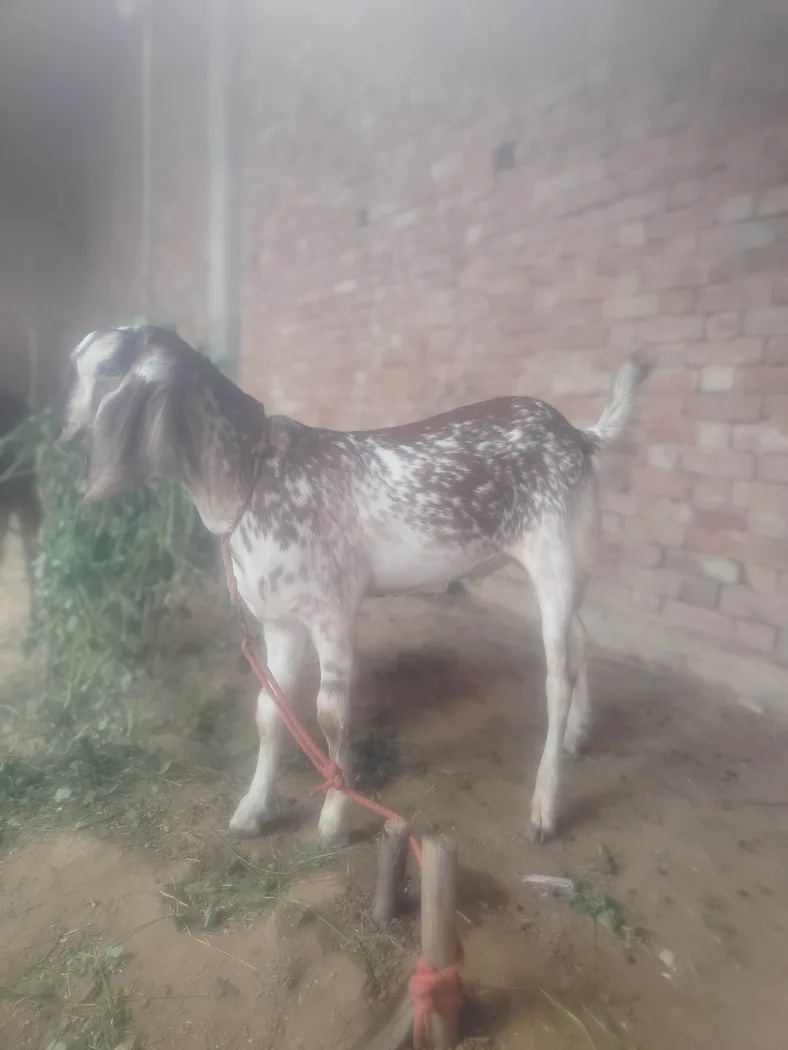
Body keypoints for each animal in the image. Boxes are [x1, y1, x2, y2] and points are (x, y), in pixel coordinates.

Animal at [60, 325, 648, 845]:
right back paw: (577, 735)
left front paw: (335, 818)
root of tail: (580, 435)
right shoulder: (280, 620)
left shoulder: (332, 611)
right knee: (579, 640)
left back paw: (544, 807)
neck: (254, 478)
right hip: (558, 566)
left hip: (557, 556)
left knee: (556, 678)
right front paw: (253, 810)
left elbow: (330, 715)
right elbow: (270, 711)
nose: (64, 432)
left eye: (108, 368)